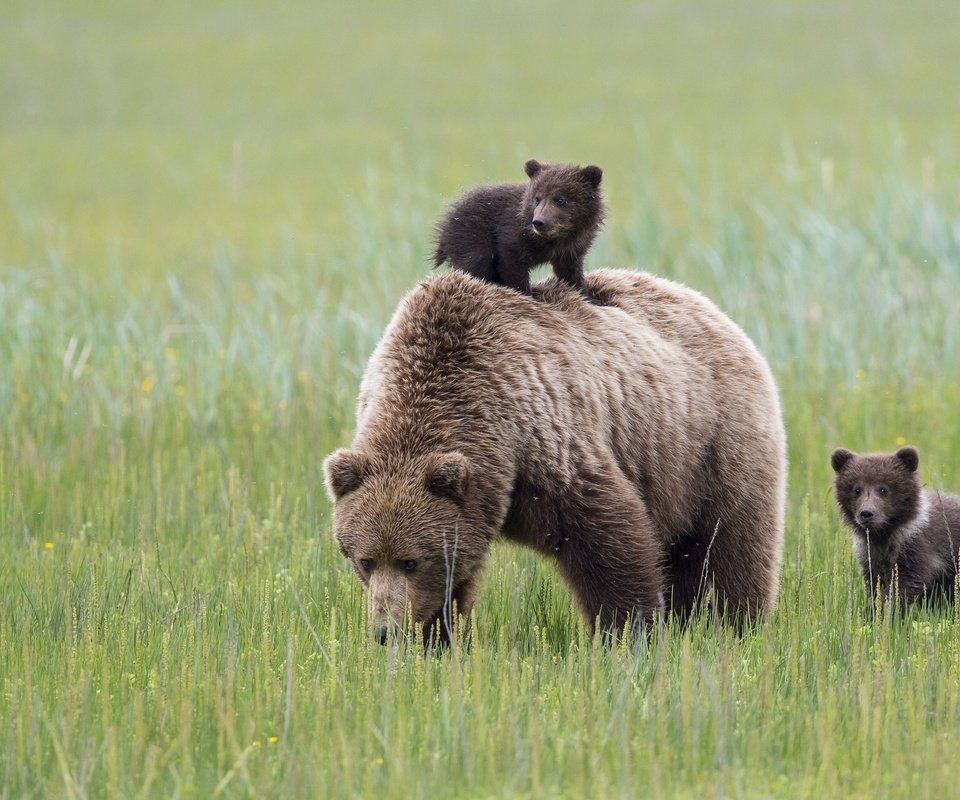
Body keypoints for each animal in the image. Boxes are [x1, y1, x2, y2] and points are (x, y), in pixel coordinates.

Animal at [324, 268, 788, 644]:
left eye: (410, 561)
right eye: (365, 560)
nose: (384, 631)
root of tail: (710, 308)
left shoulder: (545, 438)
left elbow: (610, 538)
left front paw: (628, 634)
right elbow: (455, 578)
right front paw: (438, 640)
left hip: (711, 443)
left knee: (729, 546)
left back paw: (733, 626)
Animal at [434, 159, 604, 300]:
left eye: (560, 200)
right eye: (537, 199)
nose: (538, 222)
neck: (556, 238)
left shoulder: (570, 249)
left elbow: (571, 272)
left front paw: (588, 297)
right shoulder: (511, 234)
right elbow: (512, 264)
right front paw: (525, 295)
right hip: (472, 235)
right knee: (474, 263)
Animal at [828, 444, 956, 608]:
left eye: (883, 489)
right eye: (856, 489)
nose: (866, 513)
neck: (885, 533)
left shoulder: (916, 546)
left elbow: (904, 582)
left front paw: (880, 607)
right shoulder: (870, 553)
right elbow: (875, 583)